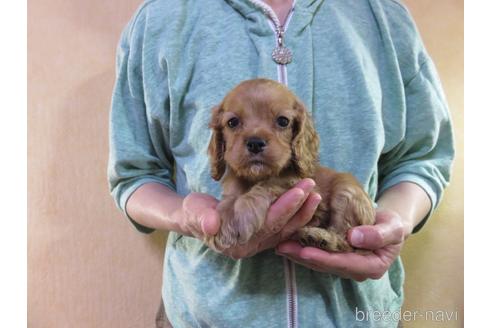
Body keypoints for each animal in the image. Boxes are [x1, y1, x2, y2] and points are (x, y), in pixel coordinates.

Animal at [207, 79, 372, 254]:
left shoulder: (297, 184)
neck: (255, 177)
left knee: (346, 242)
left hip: (346, 192)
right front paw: (225, 220)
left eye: (283, 121)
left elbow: (266, 185)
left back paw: (320, 238)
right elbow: (231, 198)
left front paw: (241, 216)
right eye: (232, 122)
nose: (255, 143)